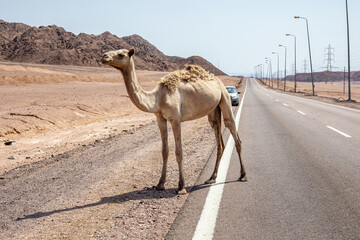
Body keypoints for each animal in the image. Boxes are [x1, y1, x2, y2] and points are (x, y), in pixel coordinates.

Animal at [101, 48, 248, 195]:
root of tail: (218, 82)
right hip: (213, 110)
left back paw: (243, 175)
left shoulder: (175, 119)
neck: (157, 98)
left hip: (224, 98)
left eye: (121, 54)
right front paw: (160, 184)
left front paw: (181, 187)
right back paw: (212, 178)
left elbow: (179, 152)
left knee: (234, 133)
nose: (104, 56)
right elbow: (164, 151)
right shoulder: (160, 119)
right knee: (219, 140)